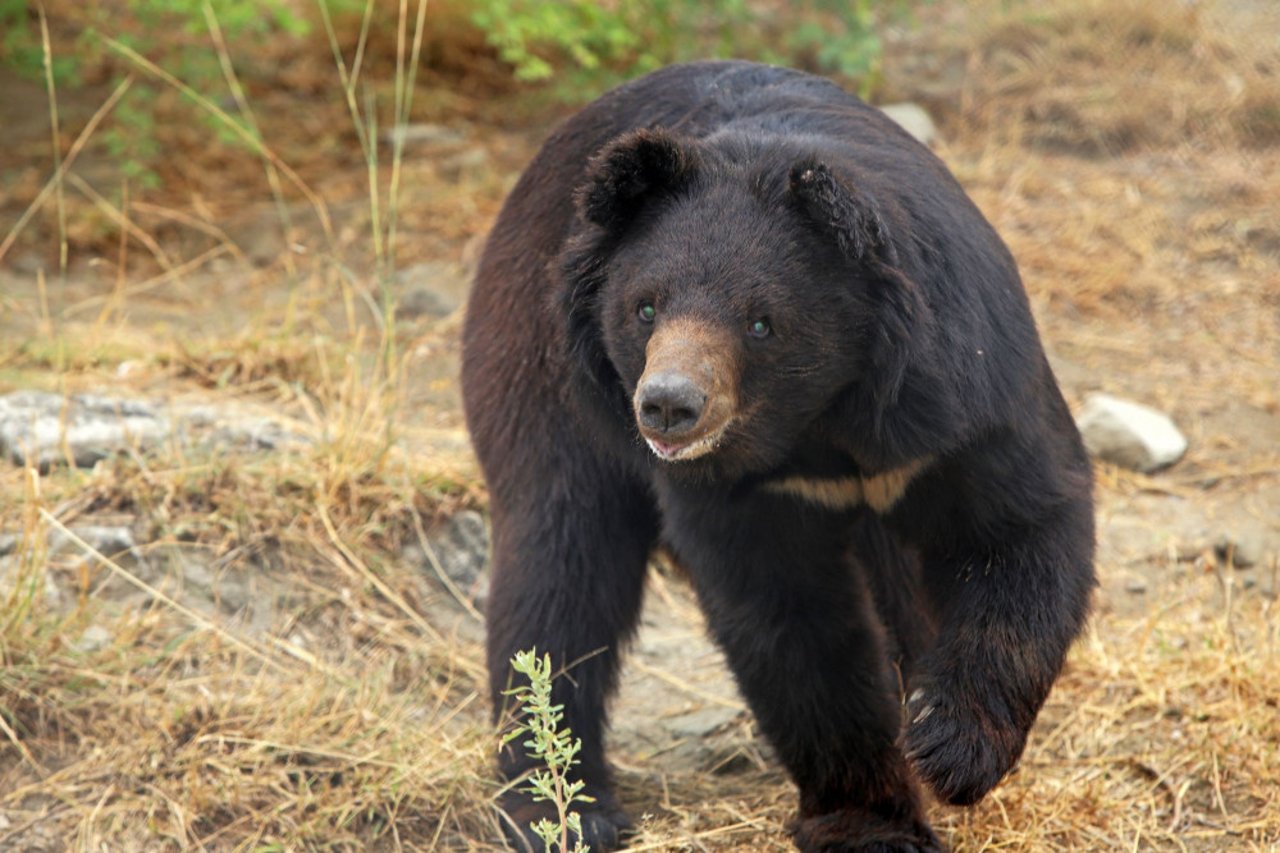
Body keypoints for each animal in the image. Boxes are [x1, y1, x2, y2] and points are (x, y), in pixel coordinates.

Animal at [465, 61, 1095, 850]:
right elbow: (791, 620)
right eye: (645, 308)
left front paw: (951, 748)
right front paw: (873, 821)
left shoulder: (963, 400)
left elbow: (1020, 527)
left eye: (761, 323)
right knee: (559, 568)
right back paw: (564, 809)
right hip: (545, 374)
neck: (819, 423)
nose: (668, 405)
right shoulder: (744, 492)